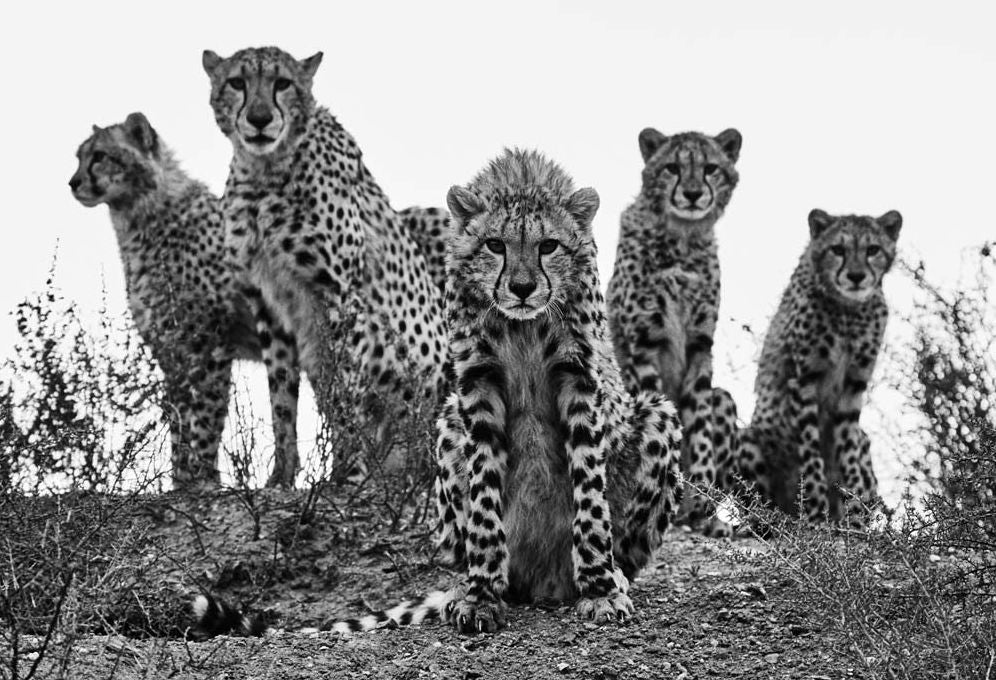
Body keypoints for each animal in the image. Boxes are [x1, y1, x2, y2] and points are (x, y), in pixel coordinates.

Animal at [69, 112, 298, 489]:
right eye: (79, 157)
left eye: (100, 156)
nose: (73, 182)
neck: (141, 215)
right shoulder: (171, 349)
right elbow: (178, 419)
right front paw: (180, 482)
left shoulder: (210, 344)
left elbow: (204, 416)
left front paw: (202, 478)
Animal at [201, 46, 448, 472]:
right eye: (236, 82)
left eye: (283, 83)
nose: (260, 119)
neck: (265, 171)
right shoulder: (268, 302)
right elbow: (282, 400)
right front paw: (282, 476)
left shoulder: (339, 294)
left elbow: (344, 390)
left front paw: (347, 469)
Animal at [606, 127, 743, 536]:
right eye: (672, 168)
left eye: (711, 168)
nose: (694, 194)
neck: (682, 238)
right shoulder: (643, 344)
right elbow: (667, 416)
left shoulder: (700, 345)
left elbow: (699, 428)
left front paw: (699, 496)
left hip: (725, 398)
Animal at [738, 208, 902, 524]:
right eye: (837, 249)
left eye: (873, 250)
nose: (855, 276)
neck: (847, 308)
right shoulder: (804, 380)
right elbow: (811, 454)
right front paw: (814, 513)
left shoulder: (854, 385)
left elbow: (848, 453)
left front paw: (853, 517)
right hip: (749, 439)